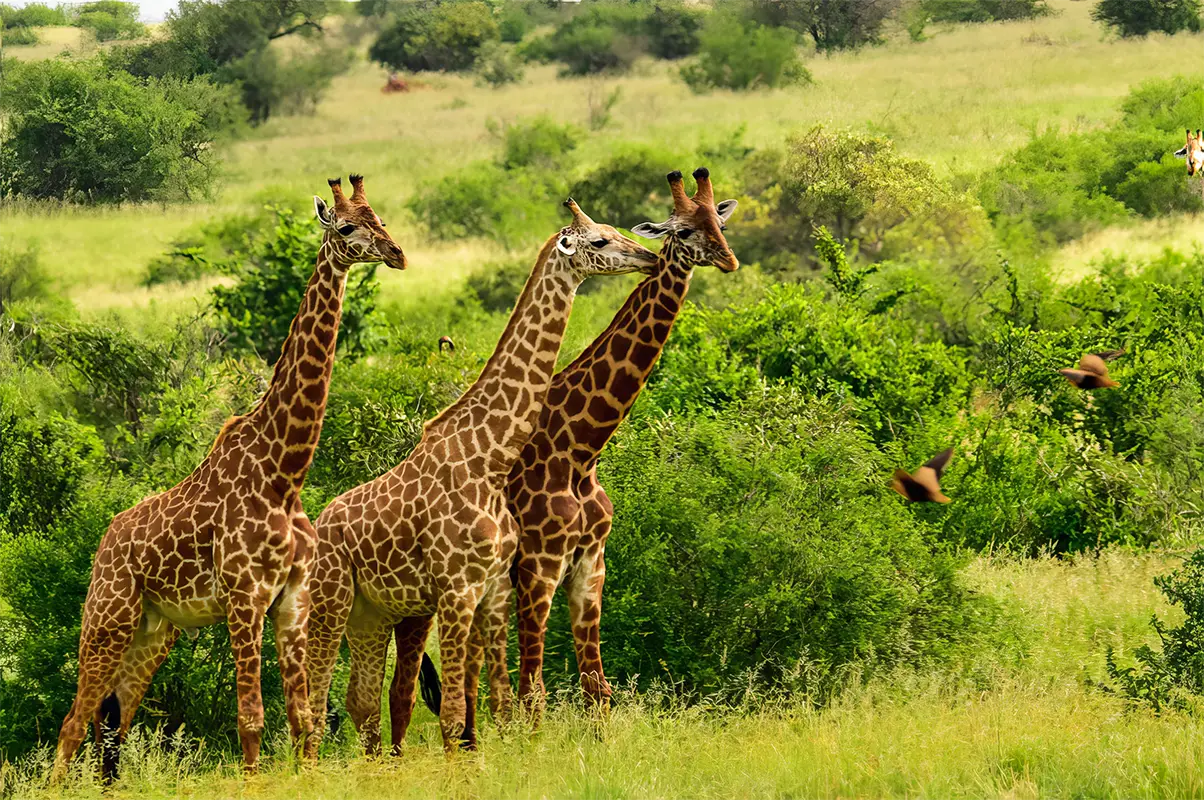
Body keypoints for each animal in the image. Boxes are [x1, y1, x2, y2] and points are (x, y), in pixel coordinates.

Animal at [52, 175, 406, 781]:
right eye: (345, 228)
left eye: (379, 218)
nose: (397, 253)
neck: (284, 472)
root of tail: (104, 543)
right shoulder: (244, 598)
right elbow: (252, 719)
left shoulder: (292, 600)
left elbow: (303, 718)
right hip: (107, 619)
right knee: (72, 725)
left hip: (152, 632)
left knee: (114, 724)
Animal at [303, 199, 659, 757]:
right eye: (600, 241)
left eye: (615, 230)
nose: (648, 258)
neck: (490, 455)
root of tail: (318, 525)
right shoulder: (459, 588)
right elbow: (456, 713)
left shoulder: (492, 590)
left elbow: (499, 702)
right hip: (331, 604)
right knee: (316, 703)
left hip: (373, 614)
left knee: (362, 703)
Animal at [398, 168, 739, 741]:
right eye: (683, 231)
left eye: (720, 221)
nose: (729, 259)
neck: (581, 448)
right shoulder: (539, 566)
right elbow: (534, 686)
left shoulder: (590, 565)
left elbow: (596, 686)